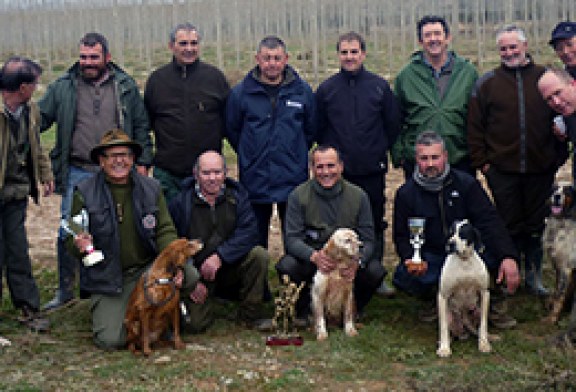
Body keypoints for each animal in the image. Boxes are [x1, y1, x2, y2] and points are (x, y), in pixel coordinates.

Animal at [436, 220, 490, 358]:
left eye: (463, 234)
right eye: (451, 232)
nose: (451, 243)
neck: (464, 261)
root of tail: (463, 324)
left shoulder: (485, 293)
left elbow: (483, 324)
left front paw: (483, 344)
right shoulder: (443, 296)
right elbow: (443, 327)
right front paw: (444, 348)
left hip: (476, 310)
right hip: (450, 316)